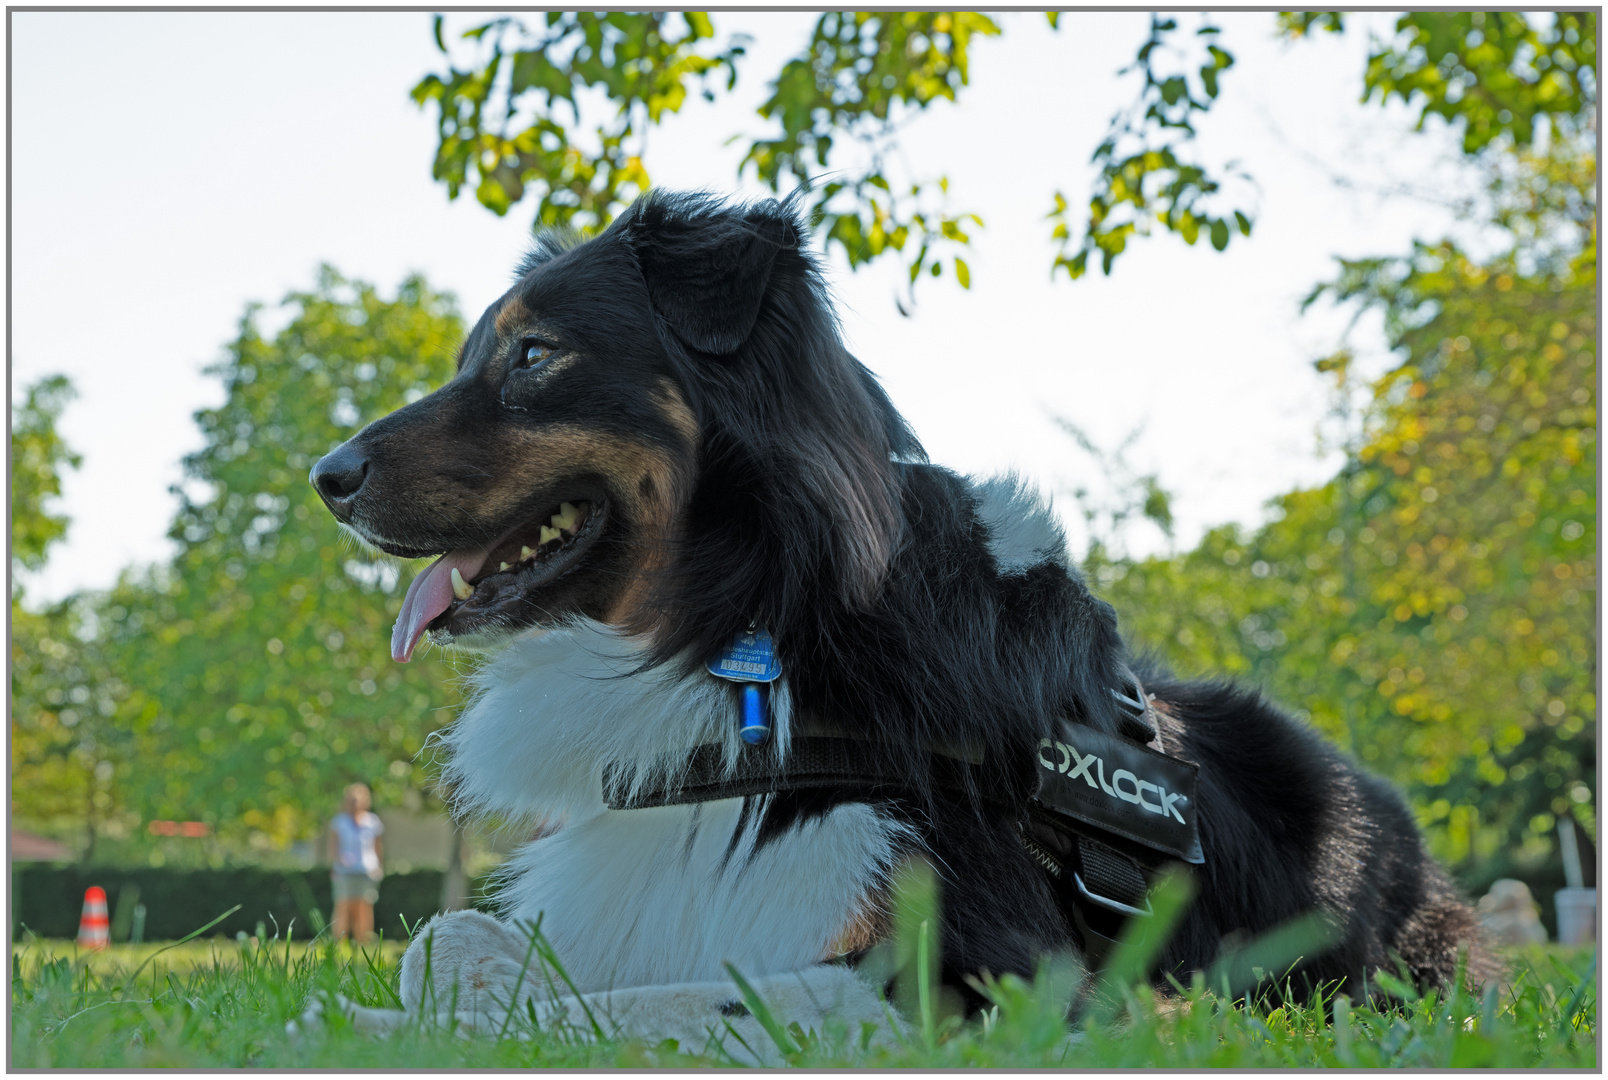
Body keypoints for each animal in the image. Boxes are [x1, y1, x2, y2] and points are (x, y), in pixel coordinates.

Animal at [310, 192, 1492, 1047]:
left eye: (536, 354)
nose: (327, 476)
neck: (751, 617)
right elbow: (443, 944)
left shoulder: (990, 973)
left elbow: (649, 1005)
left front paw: (375, 1027)